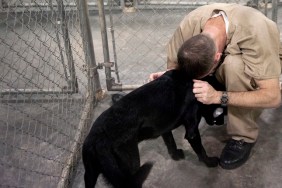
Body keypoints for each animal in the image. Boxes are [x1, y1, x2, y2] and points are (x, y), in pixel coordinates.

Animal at [82, 69, 224, 188]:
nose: (221, 122)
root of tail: (98, 138)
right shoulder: (192, 130)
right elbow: (201, 150)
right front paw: (210, 162)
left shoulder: (165, 126)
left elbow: (170, 142)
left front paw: (176, 155)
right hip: (131, 165)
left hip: (90, 173)